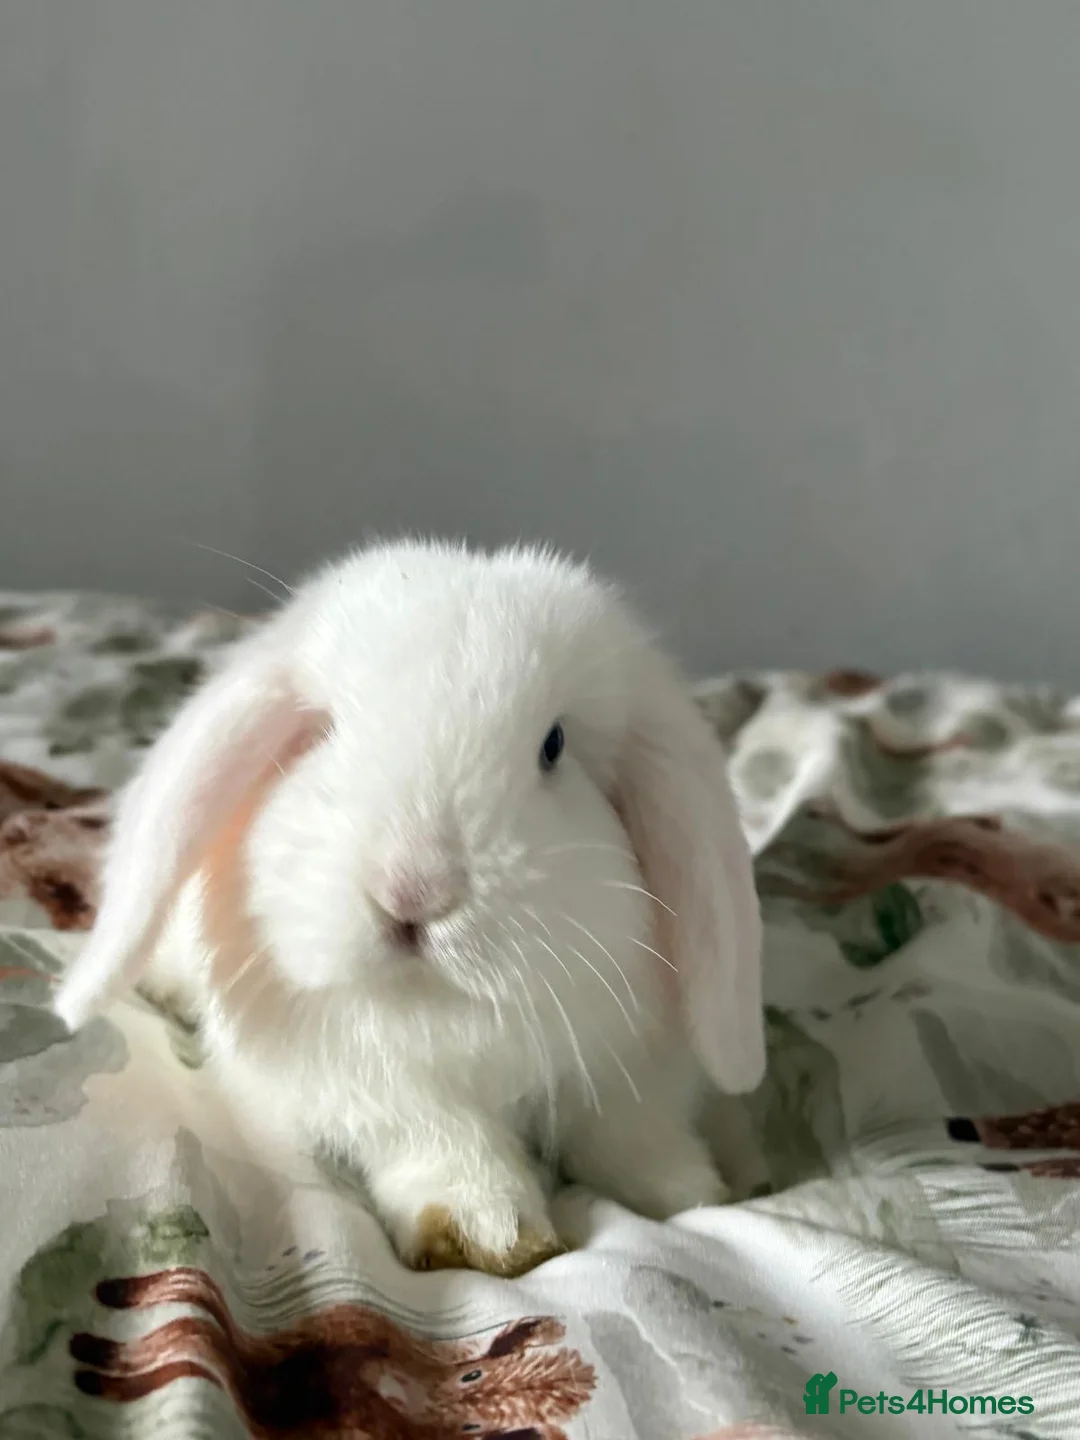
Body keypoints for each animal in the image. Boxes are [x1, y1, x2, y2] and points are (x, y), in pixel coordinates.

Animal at [53, 539, 765, 1276]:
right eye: (325, 732)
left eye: (554, 745)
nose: (413, 891)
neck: (444, 1013)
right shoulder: (379, 1095)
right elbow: (448, 1146)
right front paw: (493, 1235)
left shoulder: (632, 1072)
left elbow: (633, 1134)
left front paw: (693, 1191)